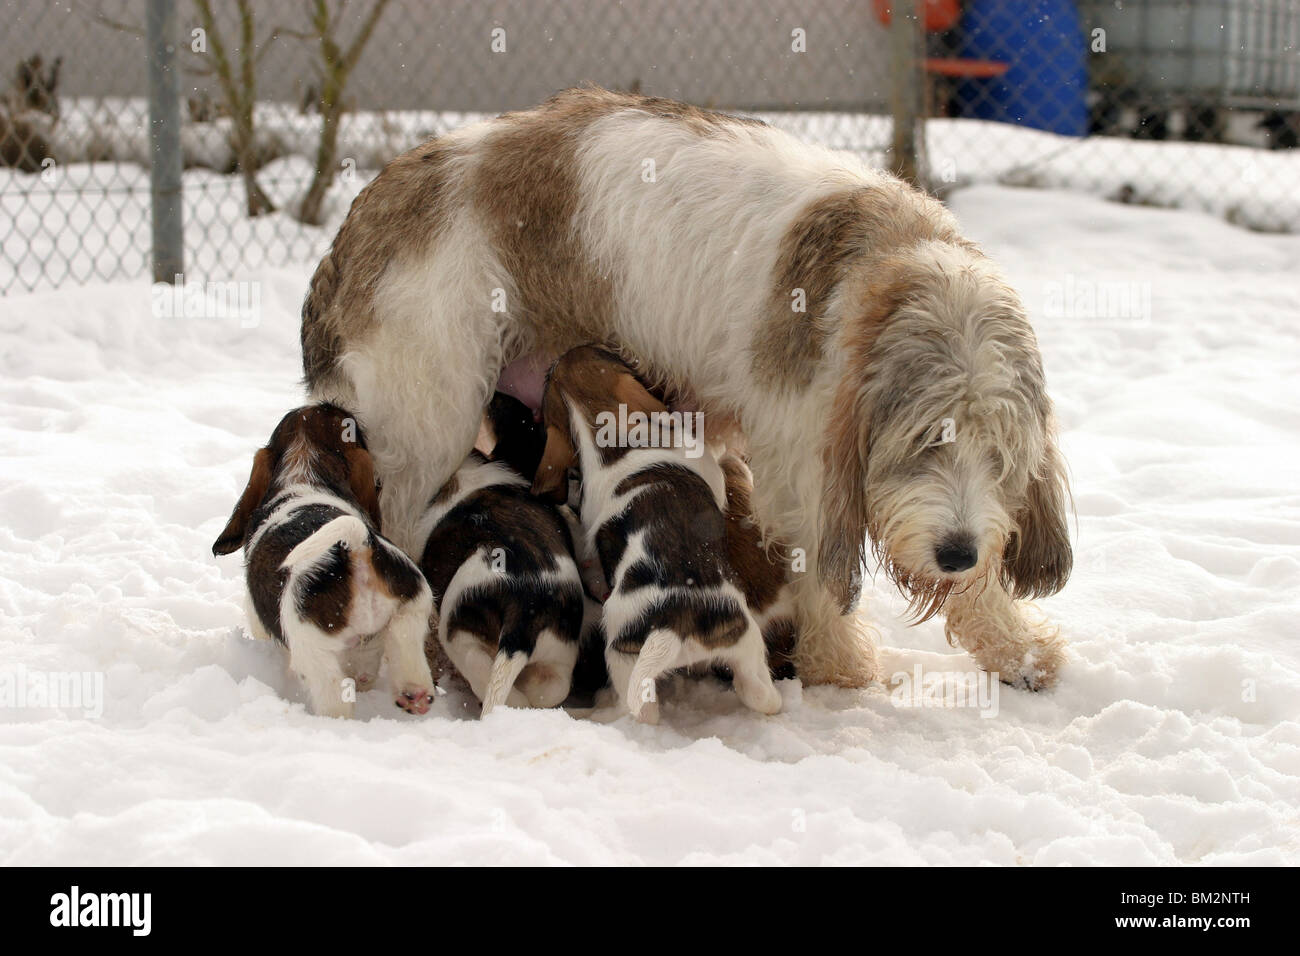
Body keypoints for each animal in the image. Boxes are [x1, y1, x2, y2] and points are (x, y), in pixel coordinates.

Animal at [211, 403, 436, 717]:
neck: (306, 471)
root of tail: (356, 544)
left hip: (312, 650)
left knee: (335, 702)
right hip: (413, 607)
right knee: (407, 659)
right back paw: (413, 695)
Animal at [413, 392, 582, 712]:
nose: (492, 394)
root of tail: (525, 616)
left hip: (461, 632)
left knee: (481, 671)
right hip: (558, 657)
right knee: (549, 690)